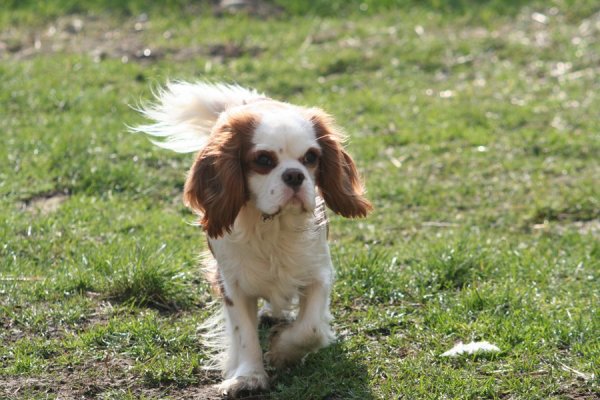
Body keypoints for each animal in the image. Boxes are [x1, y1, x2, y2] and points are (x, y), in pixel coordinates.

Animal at [134, 82, 372, 396]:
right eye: (263, 160)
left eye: (311, 157)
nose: (294, 175)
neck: (272, 226)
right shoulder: (232, 284)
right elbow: (244, 334)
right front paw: (249, 376)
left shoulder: (319, 273)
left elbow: (310, 329)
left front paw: (282, 350)